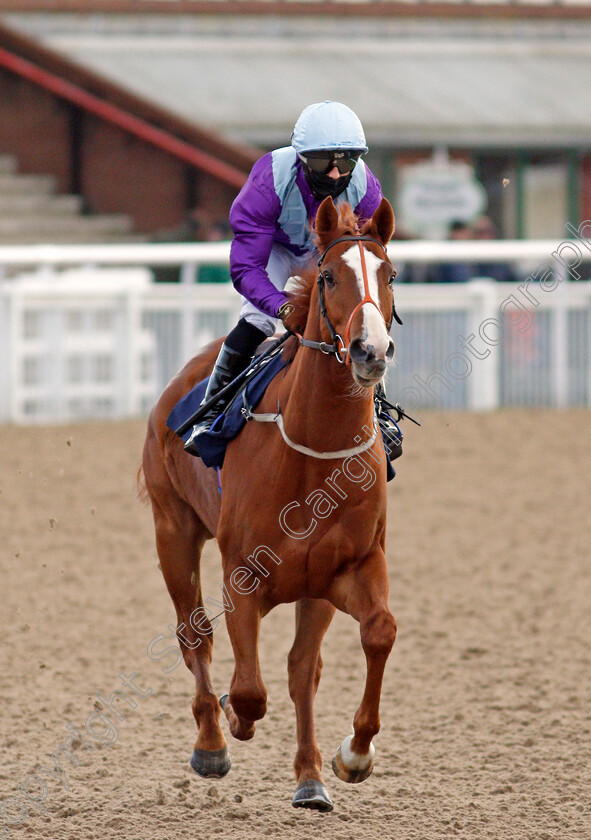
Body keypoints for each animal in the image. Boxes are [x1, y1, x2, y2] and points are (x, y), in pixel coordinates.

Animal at [142, 197, 400, 812]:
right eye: (328, 277)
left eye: (389, 275)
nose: (370, 350)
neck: (313, 449)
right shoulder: (243, 576)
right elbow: (247, 690)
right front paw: (230, 723)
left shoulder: (348, 569)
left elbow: (375, 633)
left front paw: (353, 755)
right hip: (172, 531)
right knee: (194, 636)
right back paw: (211, 742)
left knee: (301, 668)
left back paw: (310, 777)